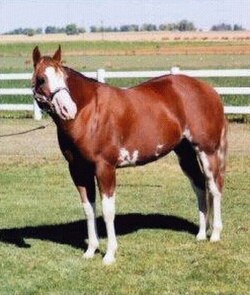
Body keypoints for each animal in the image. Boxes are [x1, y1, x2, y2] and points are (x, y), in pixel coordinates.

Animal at [31, 45, 227, 266]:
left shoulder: (105, 168)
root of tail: (209, 90)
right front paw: (90, 250)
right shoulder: (78, 170)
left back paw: (215, 234)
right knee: (200, 187)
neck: (89, 112)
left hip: (207, 151)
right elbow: (89, 209)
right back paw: (201, 234)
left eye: (63, 78)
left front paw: (109, 254)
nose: (68, 109)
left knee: (214, 187)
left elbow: (108, 211)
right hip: (185, 154)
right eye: (41, 79)